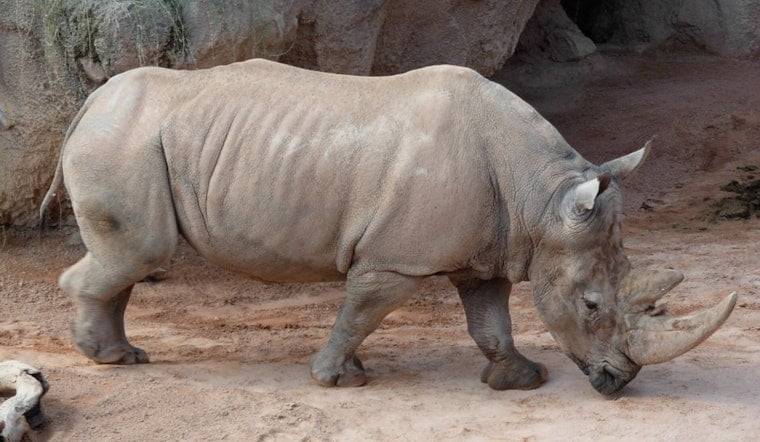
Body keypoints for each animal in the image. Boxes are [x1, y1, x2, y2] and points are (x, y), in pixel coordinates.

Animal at [39, 59, 736, 394]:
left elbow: (491, 320)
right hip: (124, 140)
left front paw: (519, 380)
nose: (619, 383)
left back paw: (124, 355)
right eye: (591, 304)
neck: (540, 198)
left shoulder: (491, 250)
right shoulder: (396, 260)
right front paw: (337, 380)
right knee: (138, 251)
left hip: (135, 139)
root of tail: (90, 100)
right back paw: (110, 359)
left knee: (129, 258)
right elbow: (360, 312)